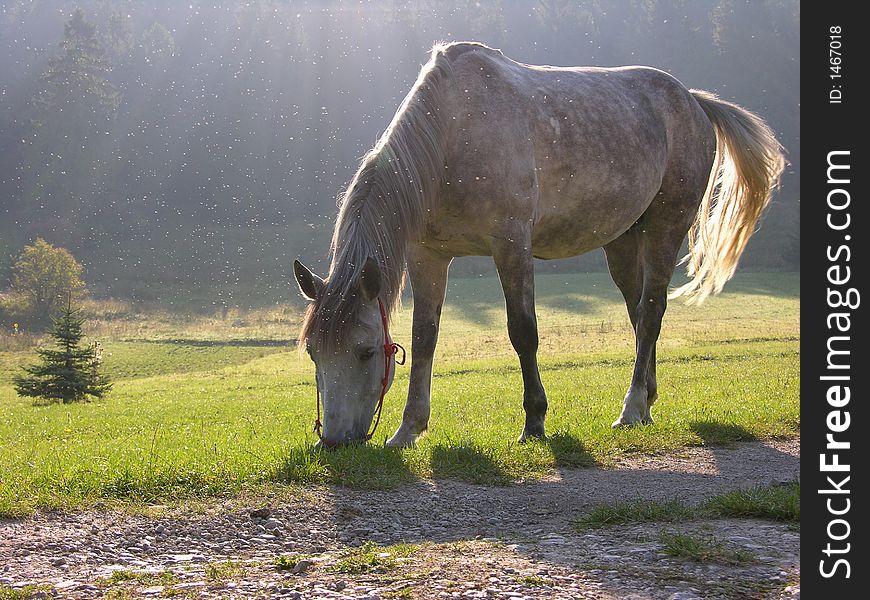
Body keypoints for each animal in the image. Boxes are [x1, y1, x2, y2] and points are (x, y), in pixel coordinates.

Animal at [294, 41, 792, 446]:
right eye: (314, 351)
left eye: (364, 351)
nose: (333, 441)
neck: (452, 134)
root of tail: (693, 101)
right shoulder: (428, 257)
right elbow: (424, 339)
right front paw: (408, 431)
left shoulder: (511, 245)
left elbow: (523, 331)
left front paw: (534, 422)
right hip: (622, 242)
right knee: (638, 314)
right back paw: (647, 401)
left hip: (664, 228)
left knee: (651, 313)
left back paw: (631, 408)